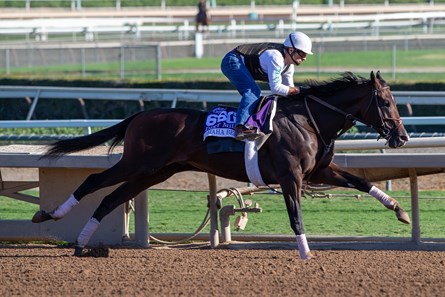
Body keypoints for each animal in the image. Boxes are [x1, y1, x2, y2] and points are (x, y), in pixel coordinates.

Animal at [32, 71, 410, 260]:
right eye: (386, 101)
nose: (402, 137)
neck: (308, 120)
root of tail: (140, 115)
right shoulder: (290, 176)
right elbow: (295, 215)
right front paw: (305, 252)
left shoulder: (318, 172)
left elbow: (361, 182)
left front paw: (400, 210)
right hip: (137, 163)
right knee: (94, 181)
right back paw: (49, 215)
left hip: (154, 171)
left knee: (111, 198)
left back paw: (82, 244)